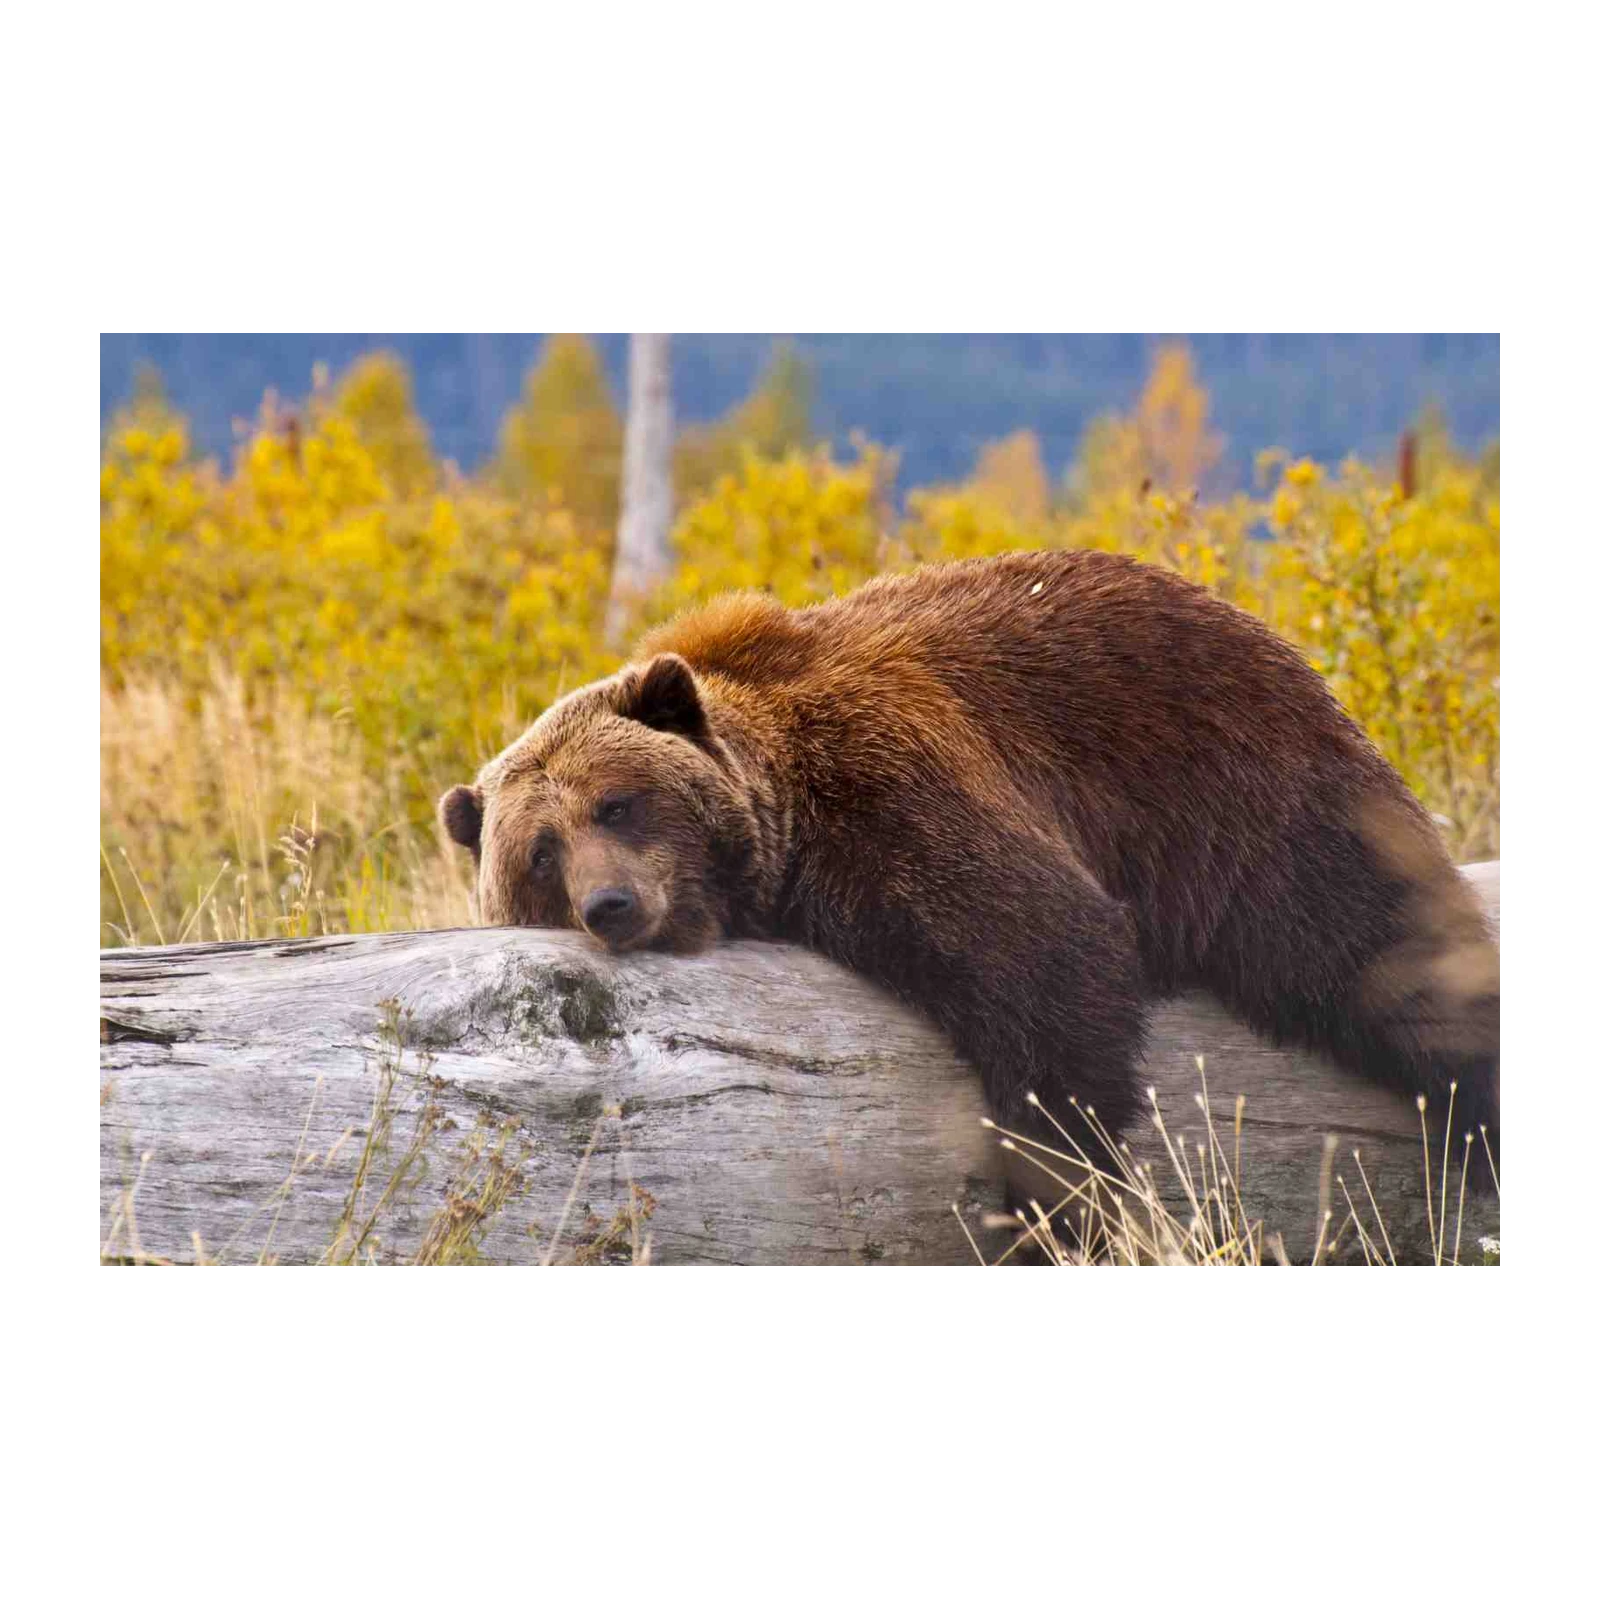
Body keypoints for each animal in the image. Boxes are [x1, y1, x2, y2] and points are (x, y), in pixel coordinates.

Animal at [439, 548, 1503, 1200]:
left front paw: (1059, 1188)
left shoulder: (896, 783)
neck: (791, 817)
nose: (612, 903)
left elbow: (1045, 955)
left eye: (617, 803)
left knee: (1386, 956)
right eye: (540, 851)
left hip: (1252, 798)